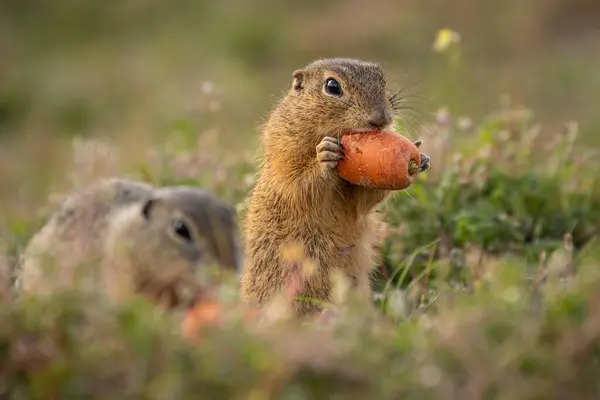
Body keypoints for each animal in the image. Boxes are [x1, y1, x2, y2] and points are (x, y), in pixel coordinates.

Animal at [237, 57, 428, 314]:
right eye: (332, 86)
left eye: (382, 79)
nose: (382, 118)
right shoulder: (283, 150)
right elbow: (297, 185)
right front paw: (325, 155)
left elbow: (364, 201)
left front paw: (421, 155)